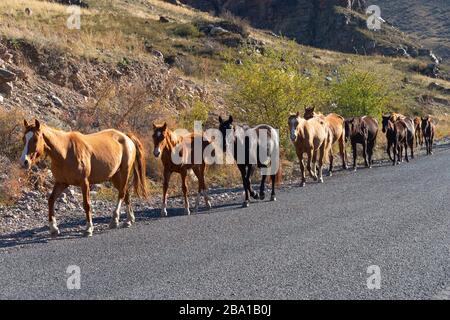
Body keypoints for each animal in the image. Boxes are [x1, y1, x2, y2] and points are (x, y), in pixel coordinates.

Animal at [19, 119, 148, 236]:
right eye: (24, 139)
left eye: (35, 139)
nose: (24, 162)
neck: (65, 152)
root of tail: (126, 137)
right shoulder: (61, 182)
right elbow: (51, 200)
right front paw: (54, 228)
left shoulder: (84, 182)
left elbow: (87, 204)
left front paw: (89, 228)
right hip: (114, 176)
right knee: (126, 193)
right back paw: (129, 220)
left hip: (125, 171)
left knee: (121, 193)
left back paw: (114, 220)